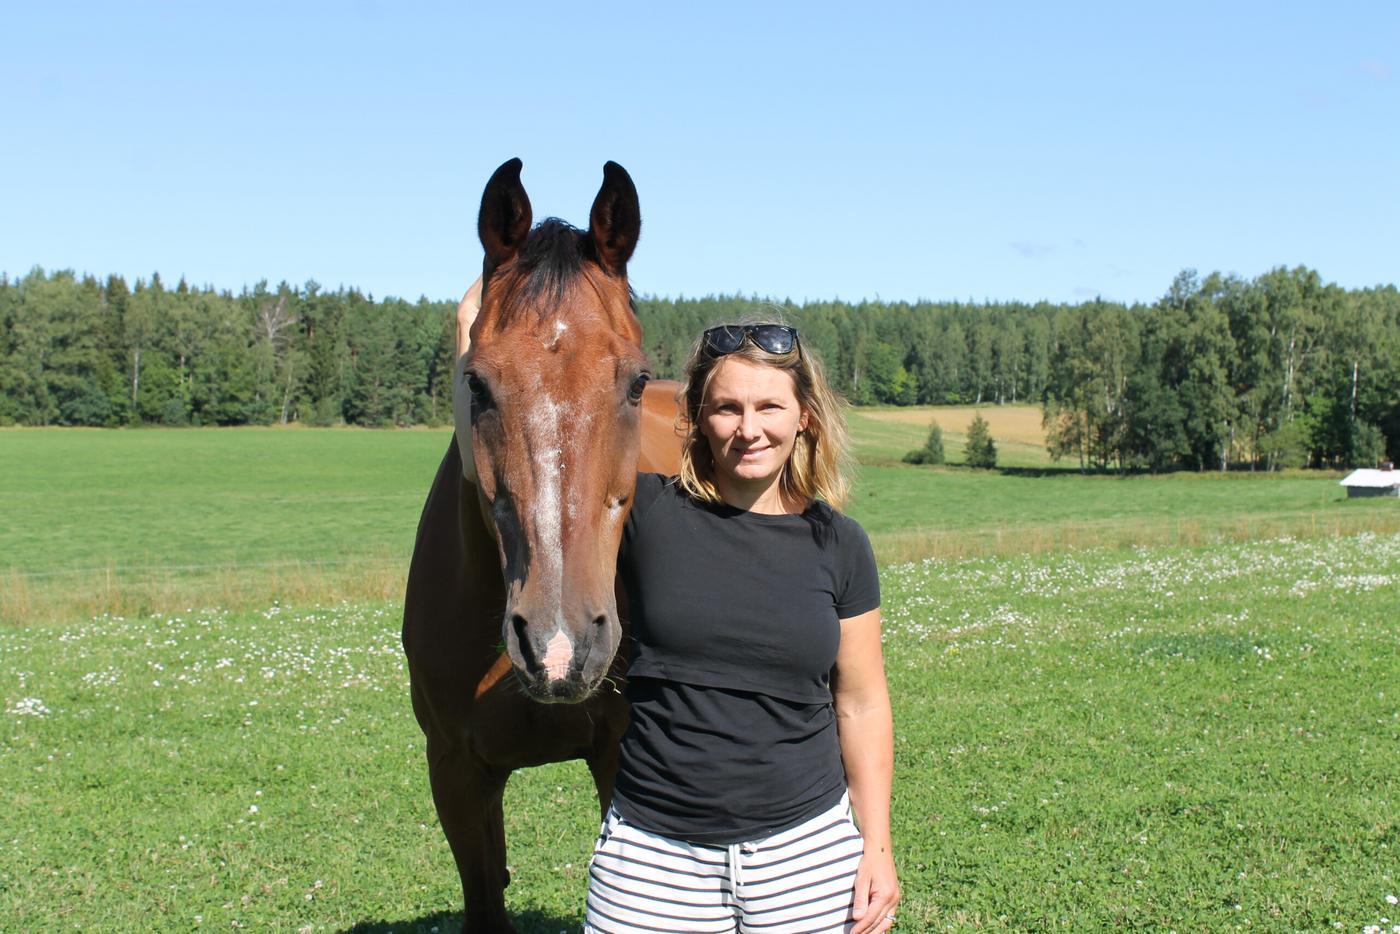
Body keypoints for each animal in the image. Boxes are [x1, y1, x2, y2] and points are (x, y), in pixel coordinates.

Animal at [403, 161, 686, 934]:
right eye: (476, 383)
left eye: (635, 380)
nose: (561, 645)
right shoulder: (455, 772)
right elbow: (485, 895)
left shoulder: (620, 756)